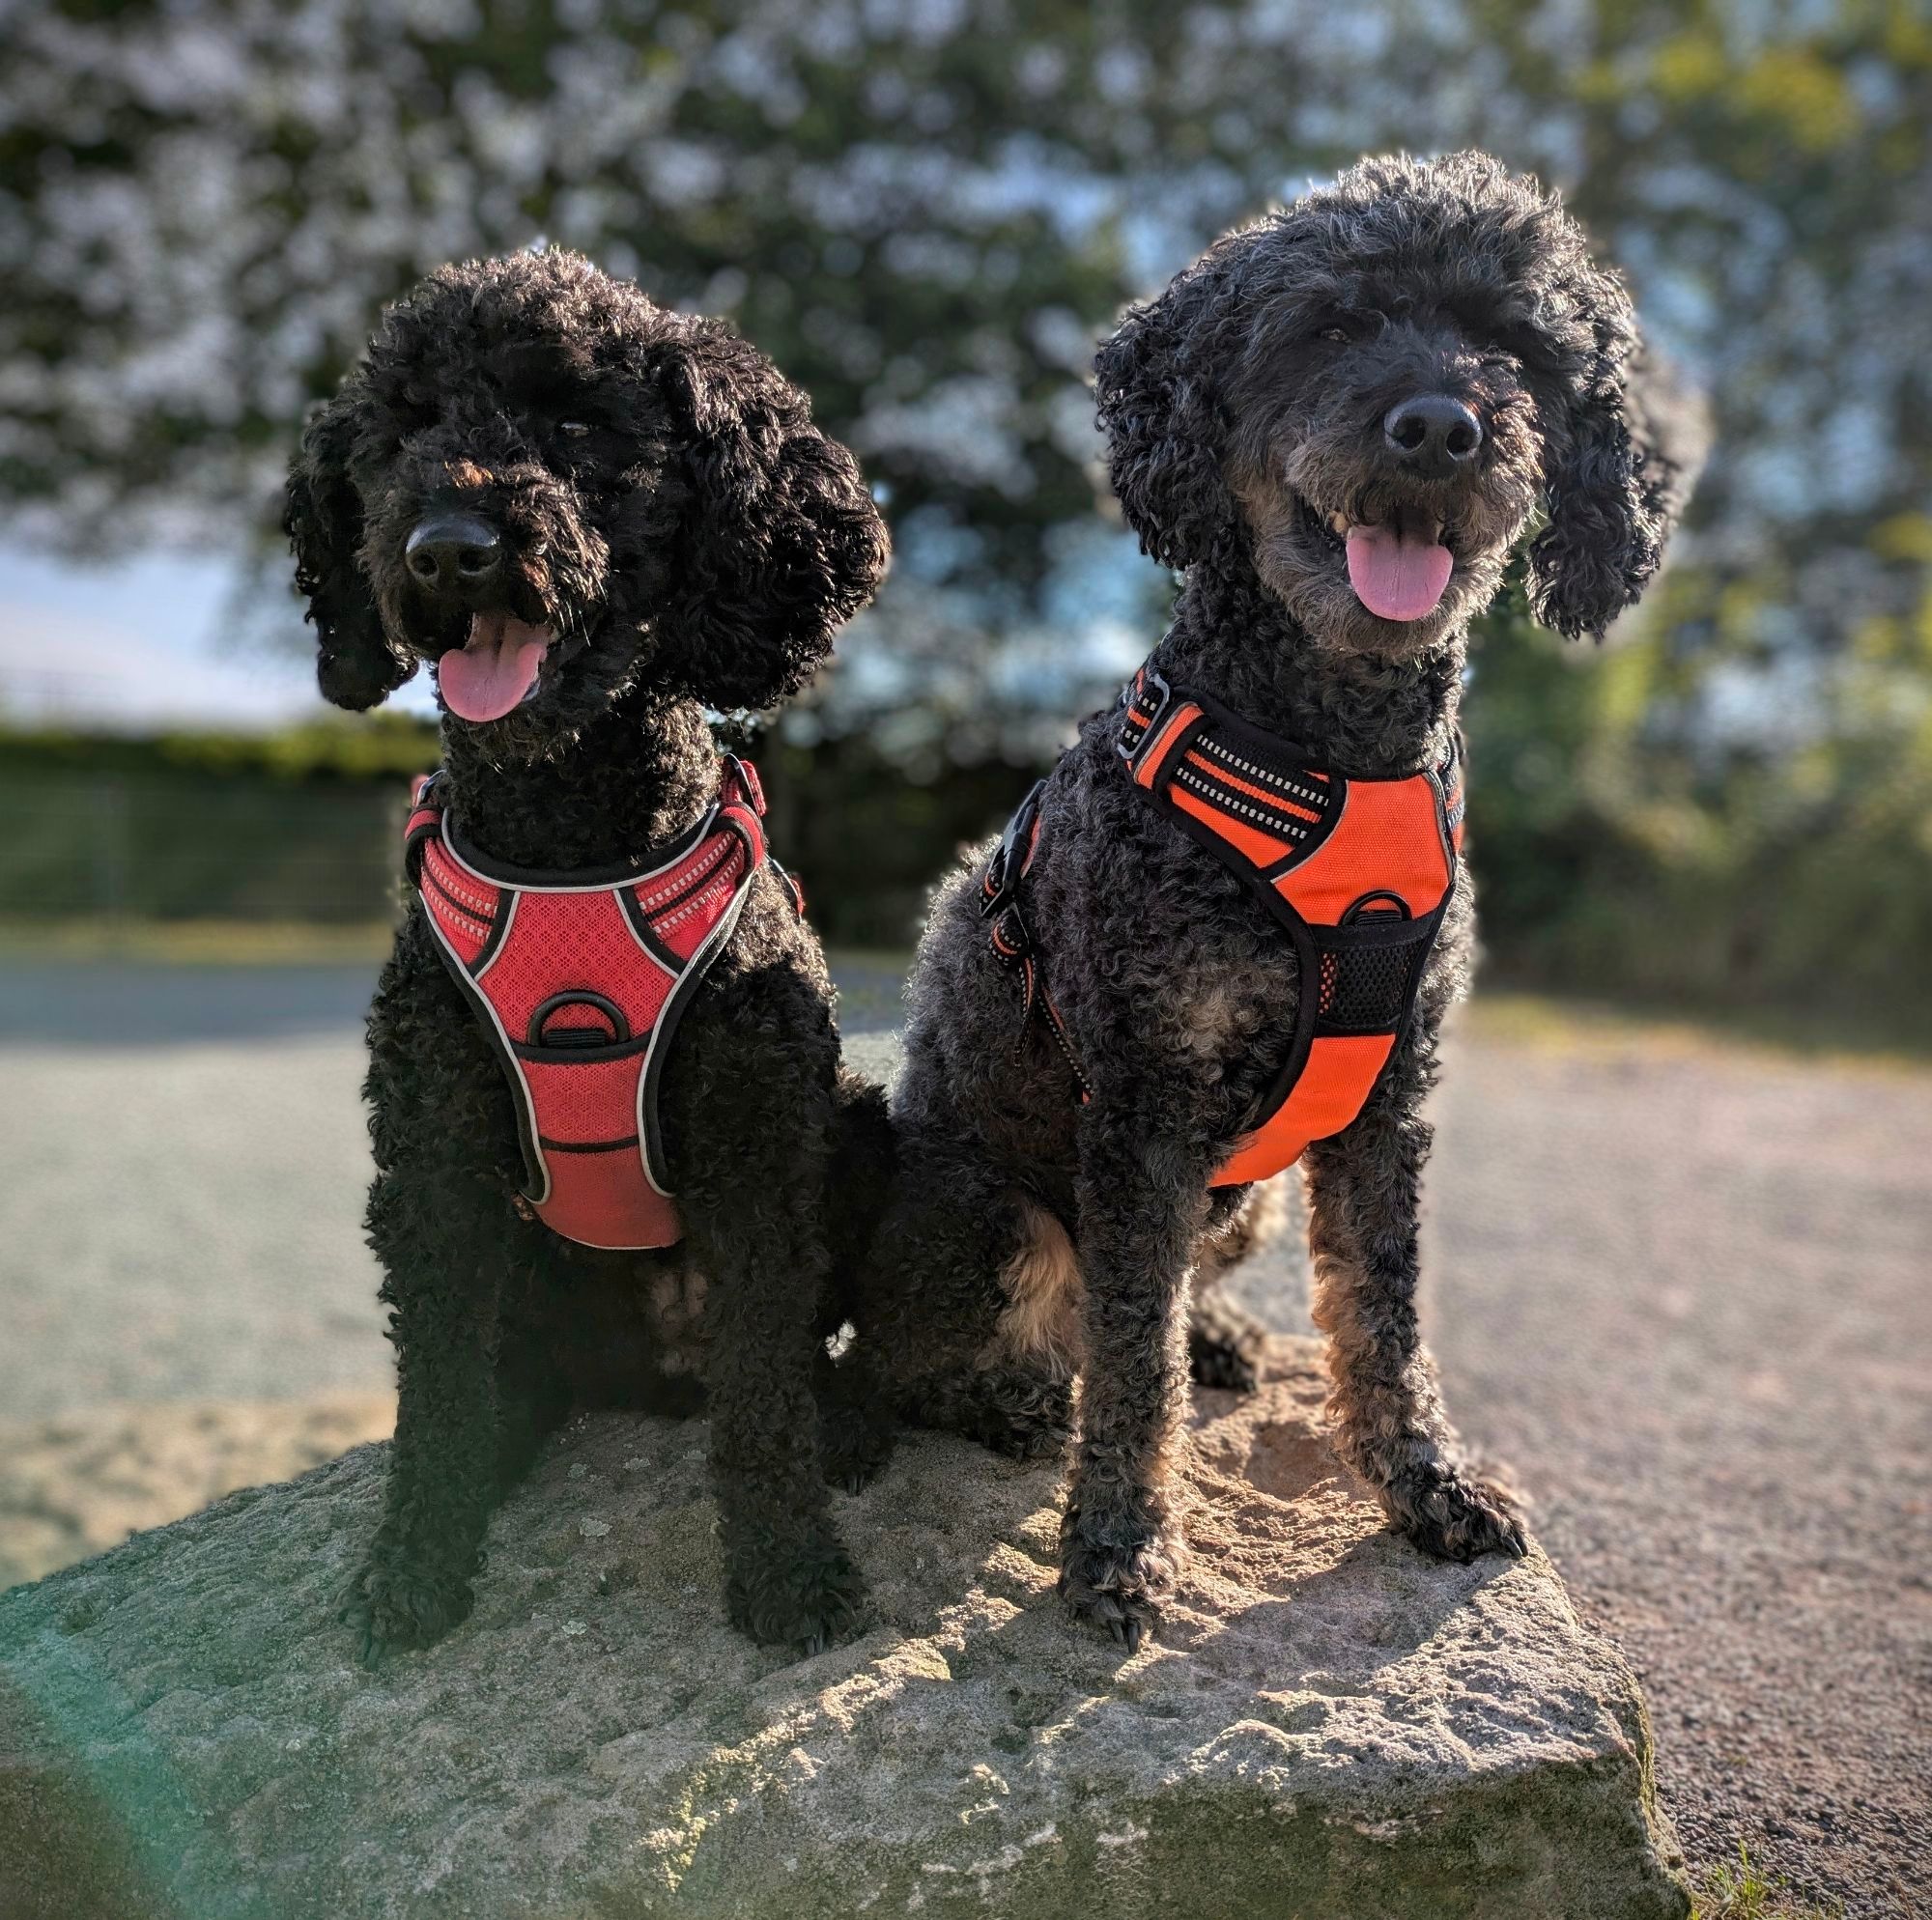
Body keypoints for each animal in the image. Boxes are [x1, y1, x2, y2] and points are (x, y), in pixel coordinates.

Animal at [286, 247, 889, 1661]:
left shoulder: (760, 1144)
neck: (567, 842)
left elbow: (767, 1391)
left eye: (573, 425)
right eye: (403, 432)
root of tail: (648, 1370)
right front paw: (416, 1556)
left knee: (786, 1366)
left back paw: (847, 1422)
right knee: (499, 1368)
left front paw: (787, 1568)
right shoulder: (432, 1157)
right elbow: (434, 1383)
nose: (447, 549)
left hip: (855, 1128)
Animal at [854, 150, 1700, 1646]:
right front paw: (1119, 1544)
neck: (1331, 750)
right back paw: (1014, 1394)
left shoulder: (1385, 1105)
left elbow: (1381, 1313)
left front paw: (1422, 1485)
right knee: (954, 1349)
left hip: (1232, 1194)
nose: (1439, 427)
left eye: (1515, 345)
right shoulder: (1142, 1101)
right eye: (1328, 325)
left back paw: (1216, 1336)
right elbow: (1128, 1372)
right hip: (987, 1208)